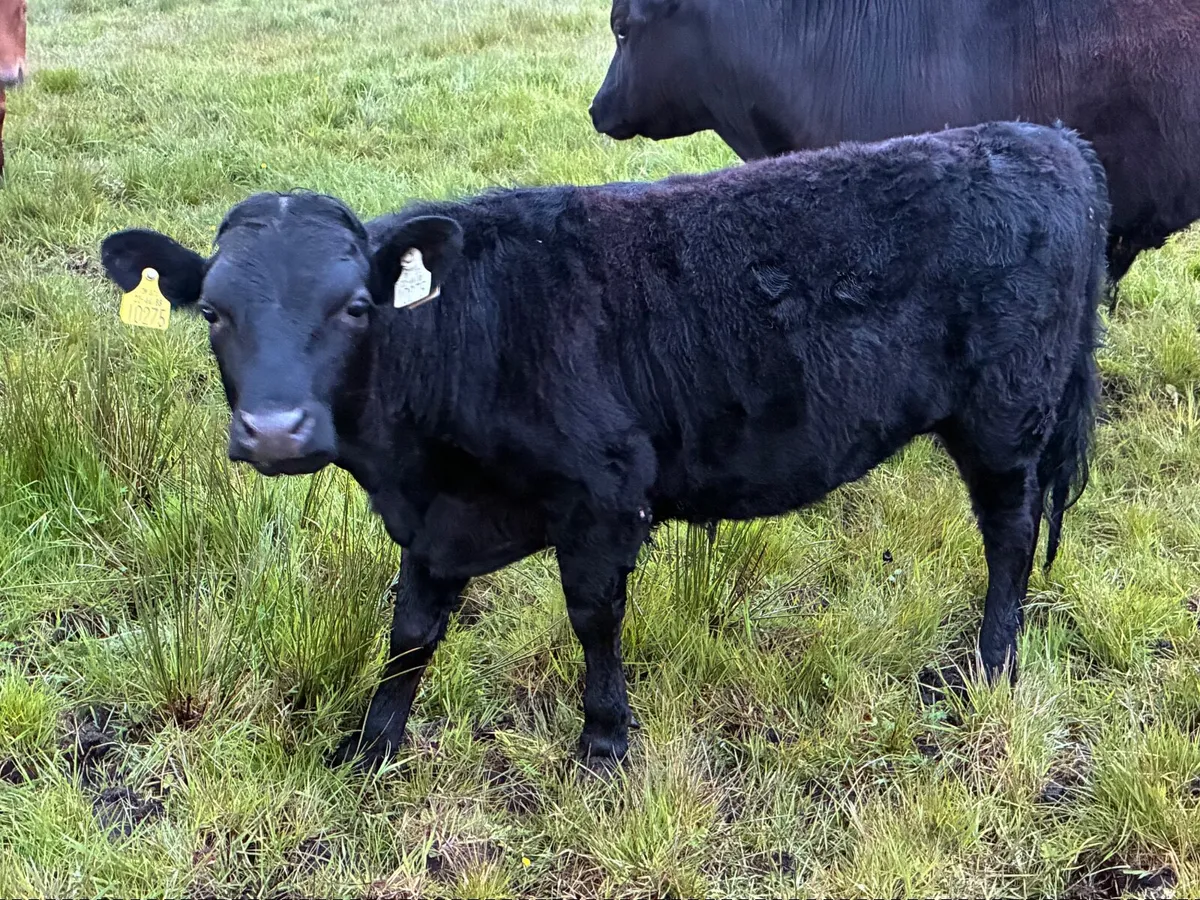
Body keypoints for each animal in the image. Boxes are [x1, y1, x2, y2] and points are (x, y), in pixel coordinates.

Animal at [98, 120, 1108, 770]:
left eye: (353, 308)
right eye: (213, 312)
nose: (276, 431)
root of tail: (1044, 138)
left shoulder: (603, 492)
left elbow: (593, 618)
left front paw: (602, 742)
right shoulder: (437, 518)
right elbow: (412, 628)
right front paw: (370, 745)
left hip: (1005, 418)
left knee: (1011, 535)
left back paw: (990, 664)